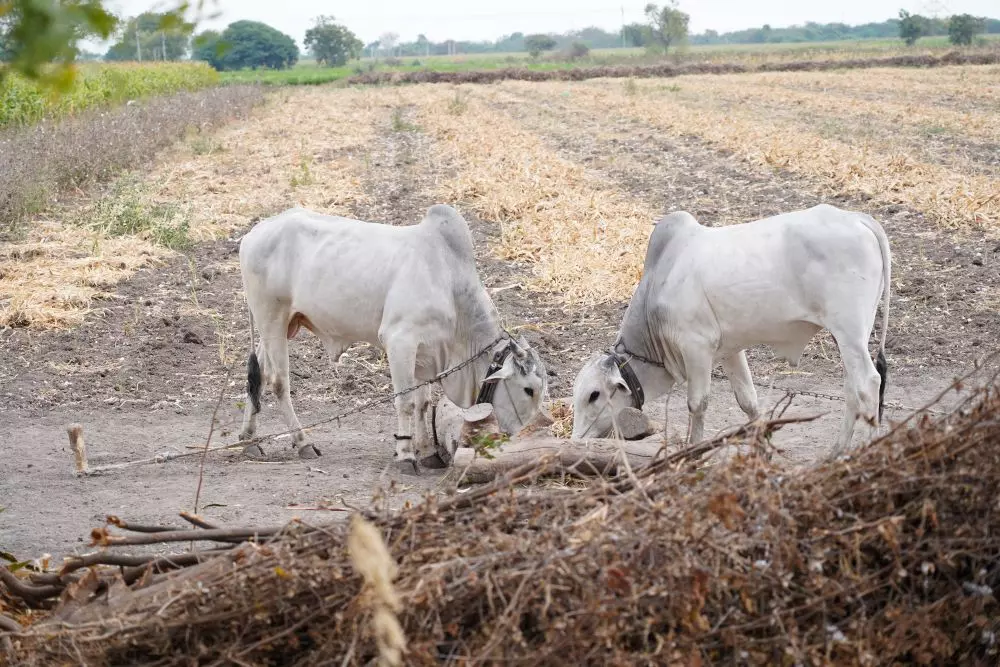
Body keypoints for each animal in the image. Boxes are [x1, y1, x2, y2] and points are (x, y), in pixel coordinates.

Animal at [237, 204, 547, 474]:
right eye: (528, 390)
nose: (527, 436)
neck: (449, 285)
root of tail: (254, 233)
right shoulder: (400, 341)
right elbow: (406, 401)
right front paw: (406, 455)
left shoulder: (426, 353)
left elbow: (423, 403)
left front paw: (428, 453)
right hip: (271, 317)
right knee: (279, 381)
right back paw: (303, 442)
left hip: (281, 325)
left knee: (259, 375)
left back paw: (249, 439)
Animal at [571, 204, 891, 459]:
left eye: (594, 395)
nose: (576, 440)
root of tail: (858, 219)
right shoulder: (731, 350)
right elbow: (747, 400)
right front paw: (763, 446)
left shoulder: (696, 347)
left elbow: (697, 403)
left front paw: (692, 454)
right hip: (848, 337)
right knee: (852, 388)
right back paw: (837, 451)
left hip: (849, 330)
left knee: (868, 383)